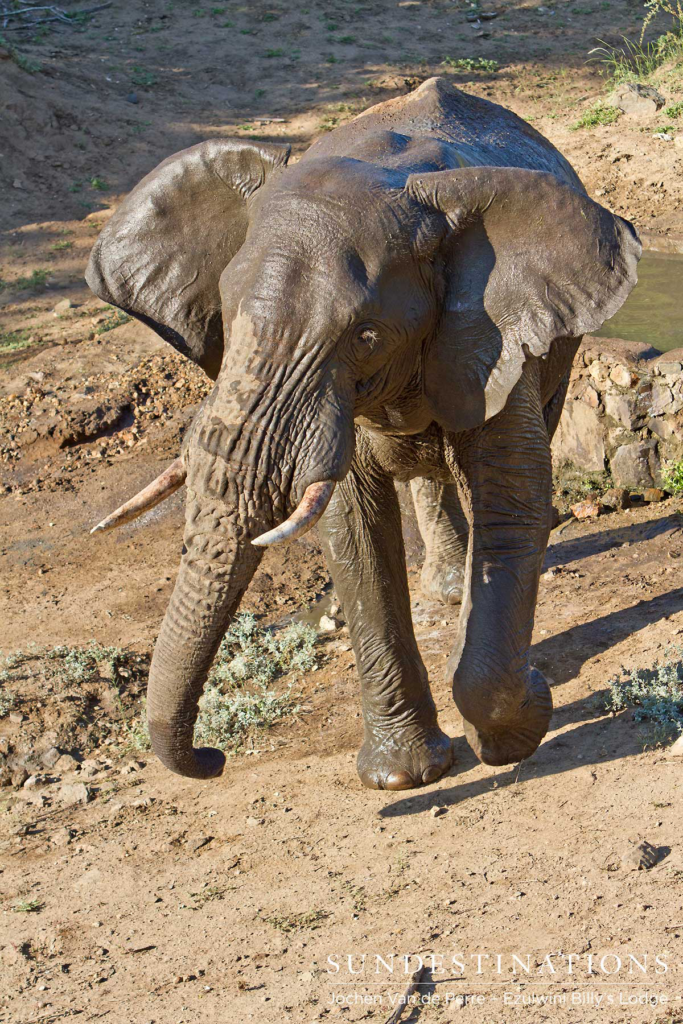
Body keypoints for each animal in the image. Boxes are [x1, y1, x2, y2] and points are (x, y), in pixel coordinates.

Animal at [86, 77, 640, 789]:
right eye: (226, 317)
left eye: (367, 336)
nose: (214, 758)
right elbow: (351, 529)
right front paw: (404, 777)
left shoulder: (494, 335)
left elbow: (511, 501)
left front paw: (521, 720)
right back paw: (450, 593)